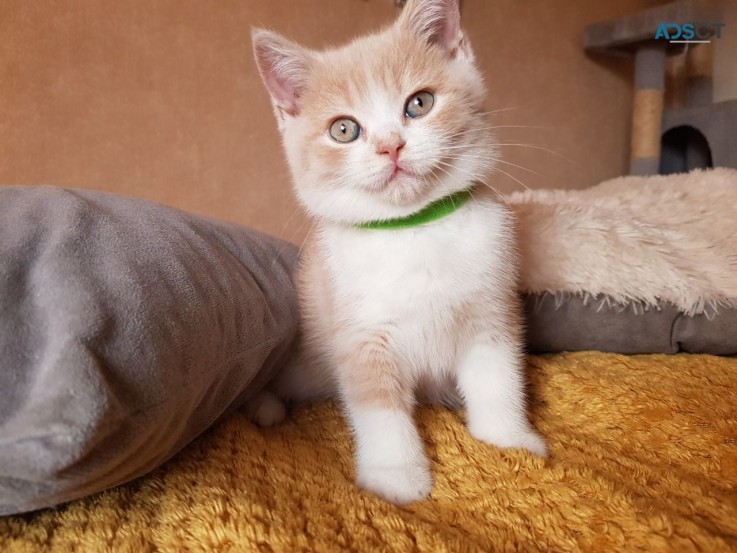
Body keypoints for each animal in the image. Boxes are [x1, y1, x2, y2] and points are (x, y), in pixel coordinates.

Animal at [250, 0, 544, 502]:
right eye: (344, 129)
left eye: (419, 104)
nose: (391, 146)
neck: (414, 230)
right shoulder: (360, 331)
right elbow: (379, 408)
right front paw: (396, 476)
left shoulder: (491, 311)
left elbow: (497, 378)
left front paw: (508, 439)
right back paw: (265, 407)